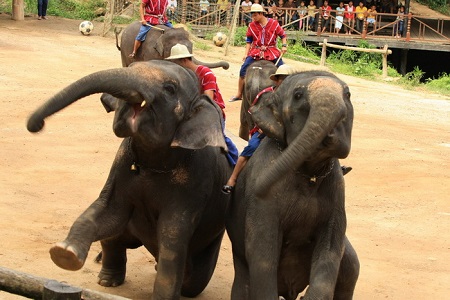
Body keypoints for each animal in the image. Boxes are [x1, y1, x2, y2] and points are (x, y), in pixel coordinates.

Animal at [25, 59, 232, 298]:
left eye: (170, 89)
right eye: (131, 66)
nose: (36, 125)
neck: (154, 160)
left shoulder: (196, 184)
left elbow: (172, 237)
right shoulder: (122, 164)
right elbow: (108, 210)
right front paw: (65, 253)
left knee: (194, 281)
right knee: (114, 239)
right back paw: (107, 281)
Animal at [227, 71, 360, 300]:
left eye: (348, 94)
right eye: (298, 95)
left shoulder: (337, 193)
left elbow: (331, 249)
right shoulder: (262, 191)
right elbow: (262, 250)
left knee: (350, 270)